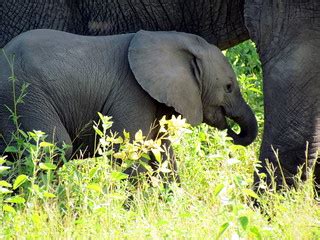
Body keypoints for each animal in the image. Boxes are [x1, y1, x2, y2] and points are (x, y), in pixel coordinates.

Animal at [0, 28, 256, 180]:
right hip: (23, 96)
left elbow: (163, 153)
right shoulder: (131, 93)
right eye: (229, 87)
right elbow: (127, 151)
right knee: (53, 148)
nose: (232, 132)